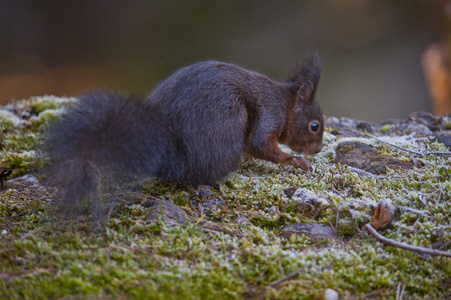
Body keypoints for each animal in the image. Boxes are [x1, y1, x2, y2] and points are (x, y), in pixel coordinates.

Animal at [43, 54, 324, 213]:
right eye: (315, 126)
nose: (319, 149)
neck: (285, 102)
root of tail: (174, 157)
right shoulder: (270, 114)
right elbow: (260, 145)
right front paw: (294, 160)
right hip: (231, 119)